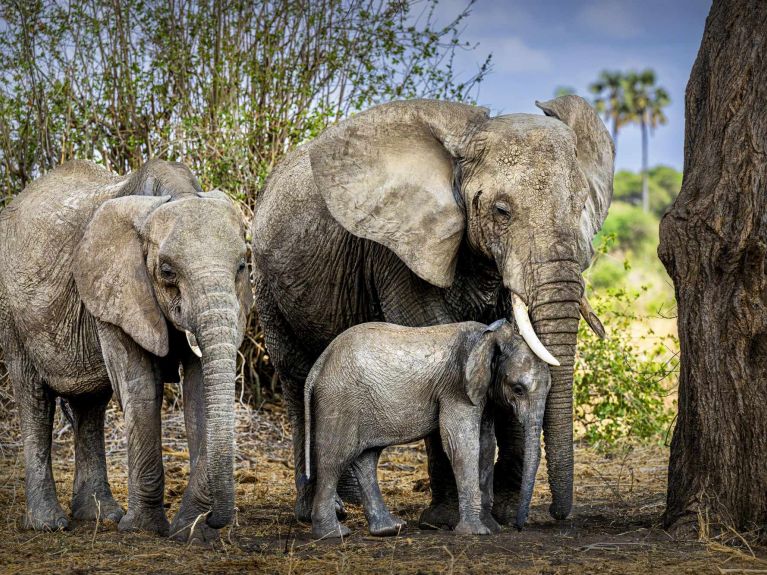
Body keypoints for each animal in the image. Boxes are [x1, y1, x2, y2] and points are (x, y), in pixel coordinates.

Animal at [0, 160, 254, 544]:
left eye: (241, 267)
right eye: (167, 271)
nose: (215, 521)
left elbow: (198, 391)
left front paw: (190, 532)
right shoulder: (115, 290)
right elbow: (140, 386)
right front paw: (145, 529)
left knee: (90, 406)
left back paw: (100, 515)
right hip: (12, 314)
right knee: (34, 399)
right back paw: (49, 524)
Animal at [306, 320, 552, 540]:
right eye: (518, 389)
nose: (519, 527)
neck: (489, 336)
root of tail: (319, 363)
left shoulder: (482, 393)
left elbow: (486, 445)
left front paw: (492, 528)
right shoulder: (457, 388)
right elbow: (462, 444)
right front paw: (477, 532)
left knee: (366, 458)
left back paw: (390, 529)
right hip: (339, 400)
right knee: (335, 458)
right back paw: (333, 534)